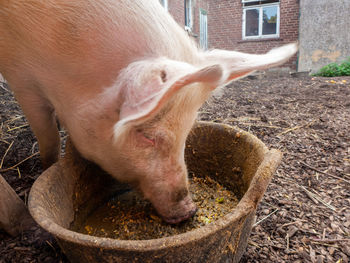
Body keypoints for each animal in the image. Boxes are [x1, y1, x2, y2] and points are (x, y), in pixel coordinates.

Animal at [0, 0, 298, 225]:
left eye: (187, 133)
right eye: (147, 135)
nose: (189, 210)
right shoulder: (21, 78)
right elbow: (48, 137)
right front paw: (48, 166)